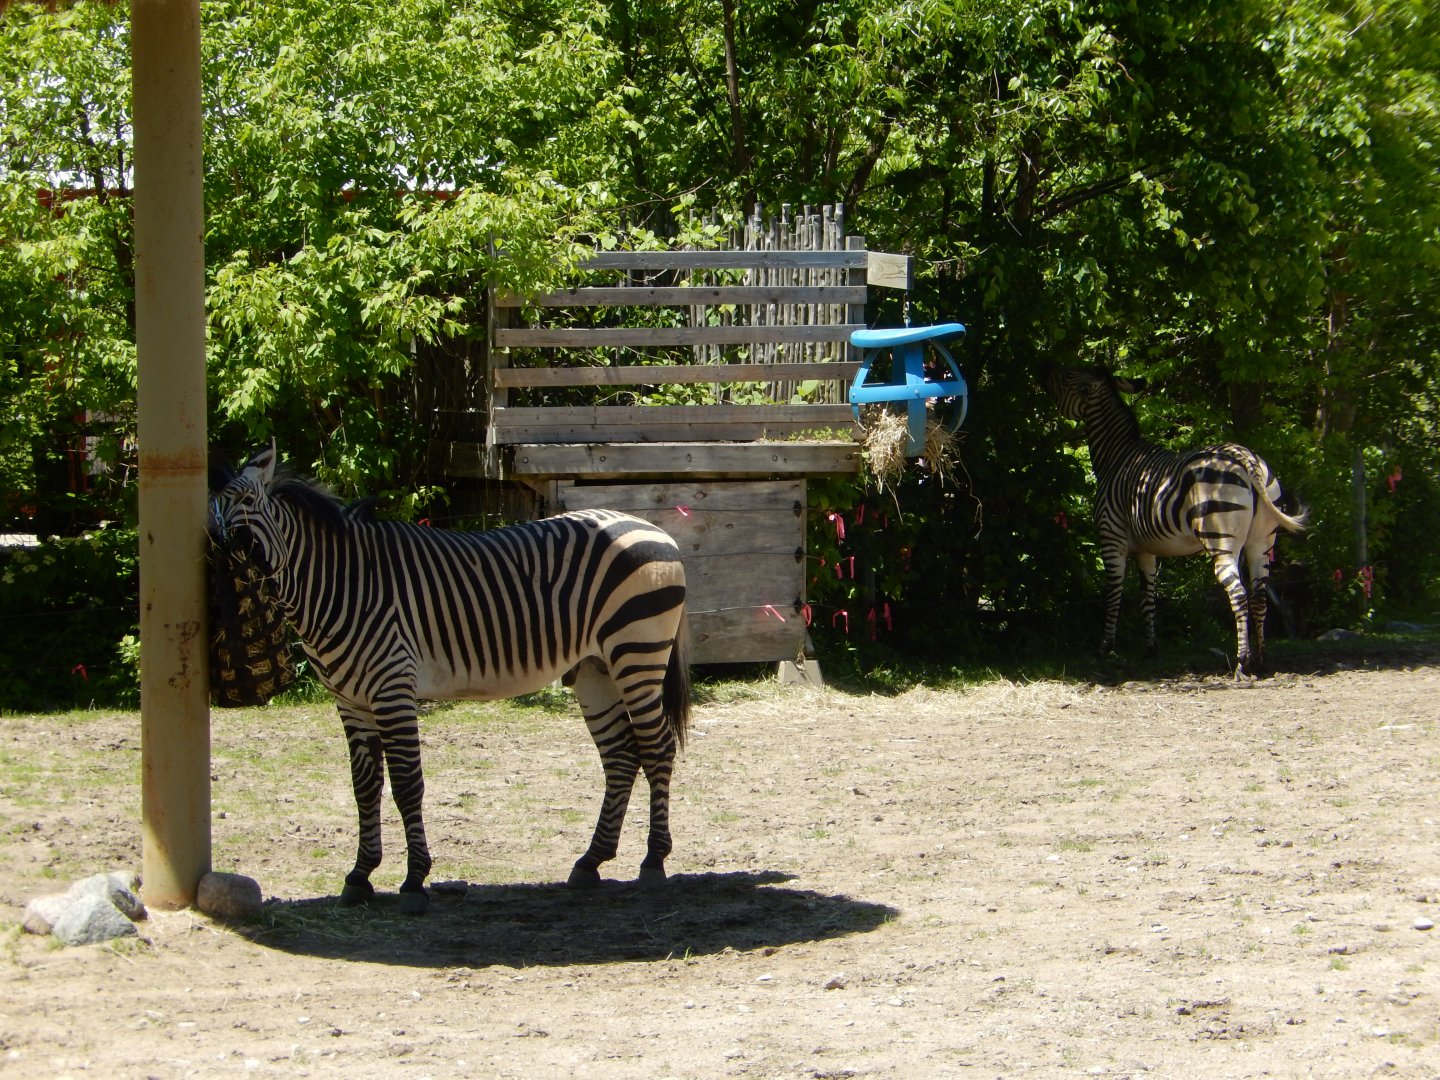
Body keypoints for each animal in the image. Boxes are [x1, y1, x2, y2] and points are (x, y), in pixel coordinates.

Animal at [209, 443, 691, 914]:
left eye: (247, 502)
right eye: (213, 507)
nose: (215, 551)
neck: (340, 585)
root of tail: (648, 525)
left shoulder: (392, 687)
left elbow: (407, 785)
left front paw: (413, 881)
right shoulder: (350, 700)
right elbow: (365, 787)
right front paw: (360, 876)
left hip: (637, 654)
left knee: (657, 748)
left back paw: (653, 860)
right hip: (595, 669)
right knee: (621, 756)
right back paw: (591, 860)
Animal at [1042, 366, 1306, 675]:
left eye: (1065, 377)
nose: (1042, 372)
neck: (1116, 457)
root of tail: (1245, 456)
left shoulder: (1111, 537)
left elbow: (1114, 592)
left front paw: (1105, 647)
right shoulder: (1146, 548)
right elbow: (1148, 597)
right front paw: (1151, 649)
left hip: (1221, 540)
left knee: (1238, 593)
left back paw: (1242, 662)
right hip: (1261, 541)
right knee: (1260, 595)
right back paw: (1261, 660)